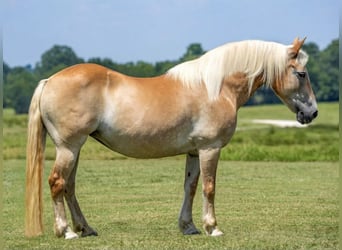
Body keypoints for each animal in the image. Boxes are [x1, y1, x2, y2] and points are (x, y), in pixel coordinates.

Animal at [26, 37, 318, 238]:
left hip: (74, 149)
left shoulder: (194, 151)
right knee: (57, 183)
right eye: (301, 73)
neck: (216, 88)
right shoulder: (210, 148)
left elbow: (191, 187)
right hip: (68, 147)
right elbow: (209, 187)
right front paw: (213, 227)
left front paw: (188, 226)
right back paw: (66, 231)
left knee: (69, 186)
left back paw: (85, 228)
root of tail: (49, 81)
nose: (312, 112)